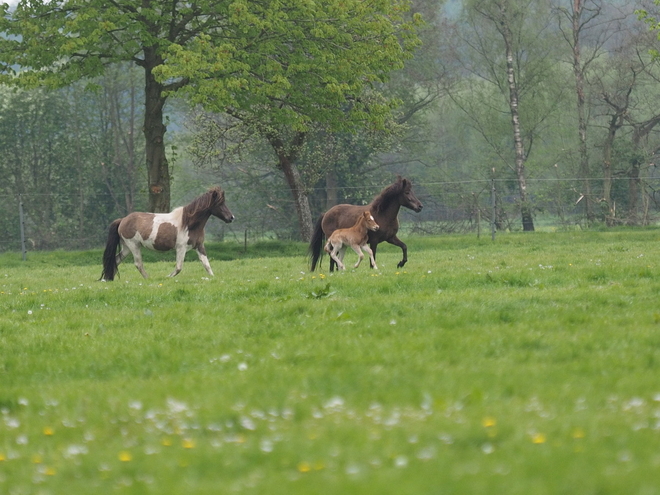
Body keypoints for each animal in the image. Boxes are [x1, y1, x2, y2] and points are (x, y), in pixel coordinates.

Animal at [96, 186, 233, 280]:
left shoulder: (199, 246)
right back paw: (148, 279)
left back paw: (108, 279)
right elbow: (178, 267)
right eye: (220, 203)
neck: (189, 223)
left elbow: (206, 265)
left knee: (116, 259)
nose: (231, 217)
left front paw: (213, 278)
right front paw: (168, 277)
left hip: (127, 247)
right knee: (138, 264)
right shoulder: (181, 248)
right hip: (134, 245)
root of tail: (122, 220)